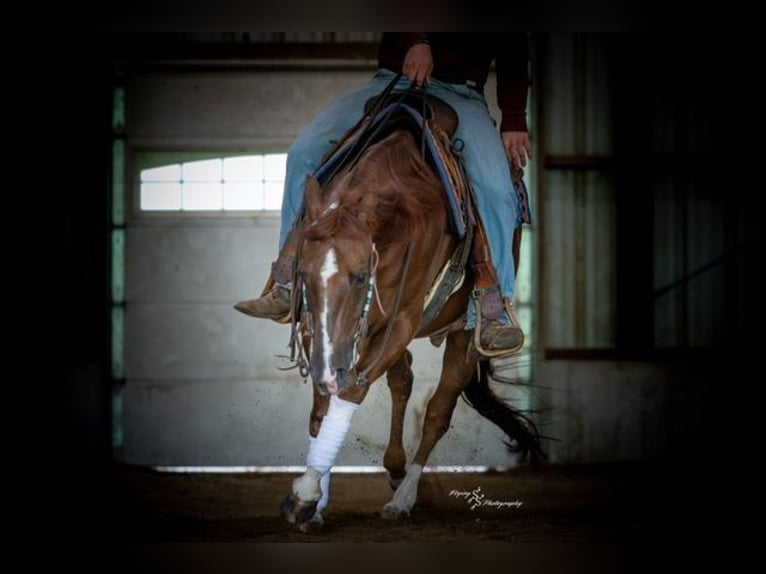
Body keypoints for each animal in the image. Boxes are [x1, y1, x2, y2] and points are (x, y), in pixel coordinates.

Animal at [278, 94, 543, 532]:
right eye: (303, 272)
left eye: (359, 276)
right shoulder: (317, 326)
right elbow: (322, 405)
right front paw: (315, 504)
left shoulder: (399, 323)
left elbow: (349, 393)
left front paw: (306, 495)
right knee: (402, 380)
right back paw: (395, 468)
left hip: (462, 334)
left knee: (438, 409)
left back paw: (403, 496)